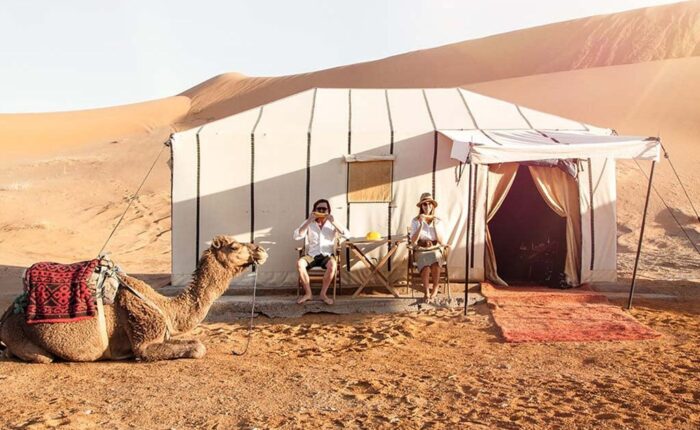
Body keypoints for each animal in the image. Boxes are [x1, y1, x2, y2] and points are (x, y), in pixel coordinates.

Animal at [0, 235, 268, 362]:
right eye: (234, 246)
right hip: (22, 337)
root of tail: (5, 317)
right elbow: (198, 348)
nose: (261, 250)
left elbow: (196, 343)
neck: (165, 307)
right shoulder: (144, 340)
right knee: (41, 356)